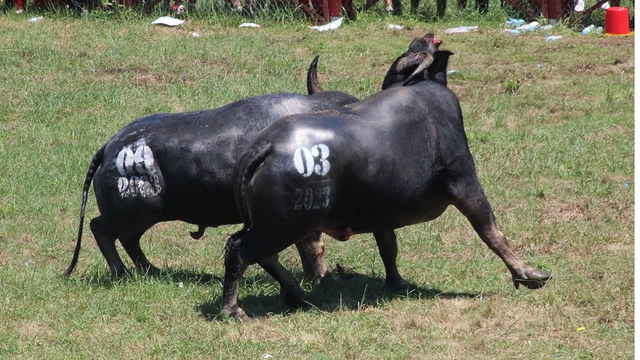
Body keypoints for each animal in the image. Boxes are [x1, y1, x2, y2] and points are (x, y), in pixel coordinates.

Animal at [224, 49, 552, 320]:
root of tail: (264, 146)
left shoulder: (381, 213)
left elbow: (388, 247)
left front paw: (396, 282)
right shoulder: (466, 185)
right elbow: (492, 233)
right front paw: (528, 273)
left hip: (269, 225)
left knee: (257, 253)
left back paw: (294, 294)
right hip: (282, 225)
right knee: (240, 250)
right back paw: (234, 309)